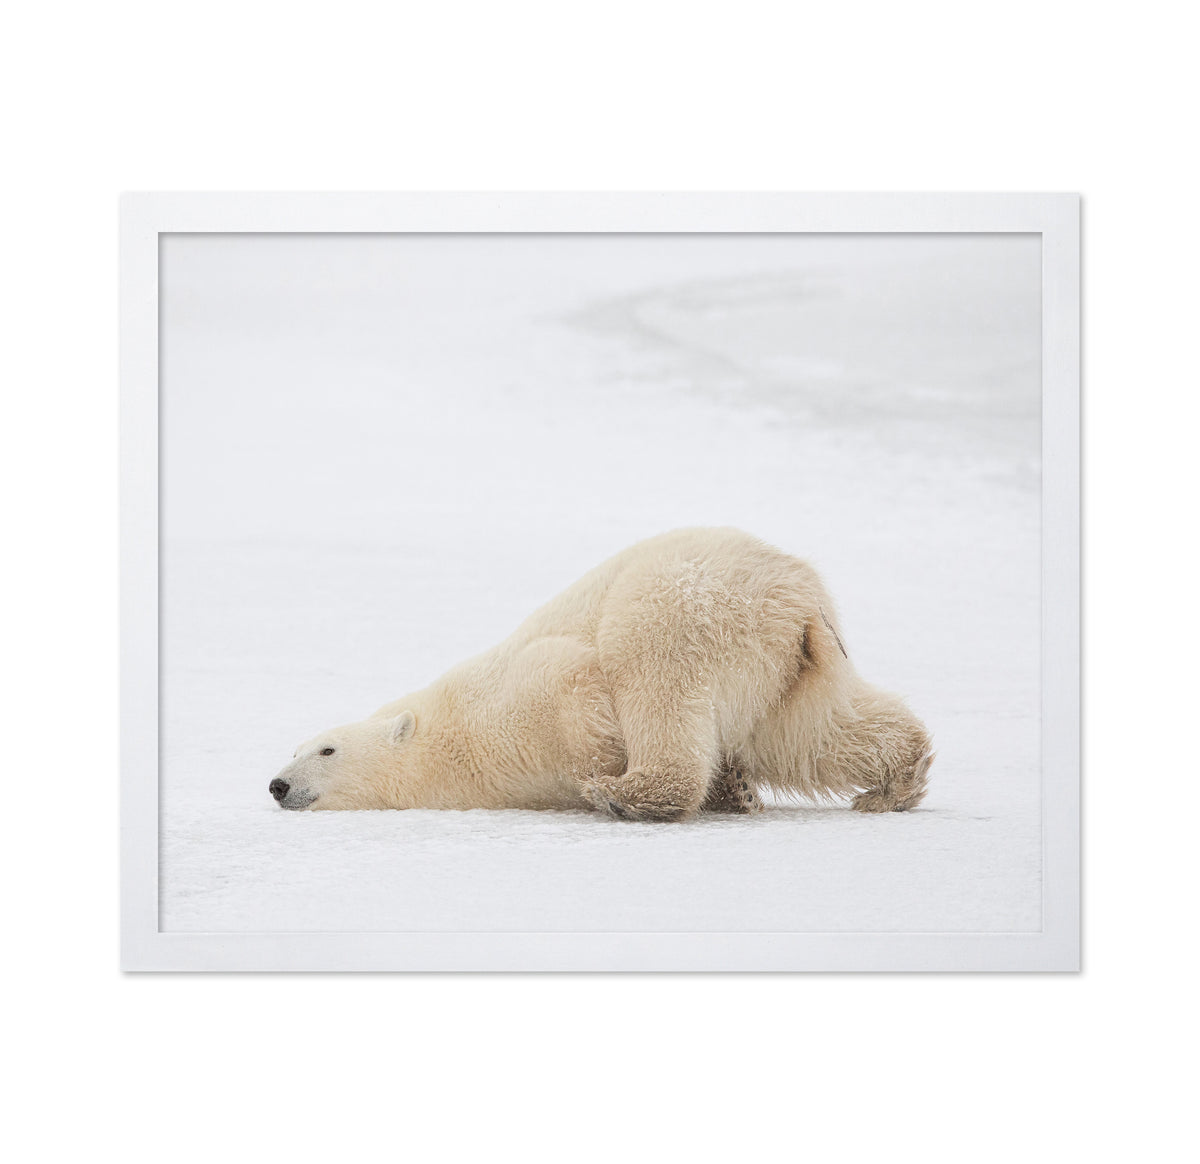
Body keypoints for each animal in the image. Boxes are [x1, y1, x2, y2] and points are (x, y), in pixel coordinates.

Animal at [268, 527, 933, 821]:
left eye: (325, 749)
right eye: (293, 748)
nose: (276, 784)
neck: (449, 739)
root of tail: (797, 594)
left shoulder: (523, 693)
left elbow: (574, 681)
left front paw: (604, 769)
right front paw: (736, 788)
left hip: (684, 605)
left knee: (658, 681)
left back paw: (625, 794)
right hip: (788, 667)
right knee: (809, 734)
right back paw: (891, 785)